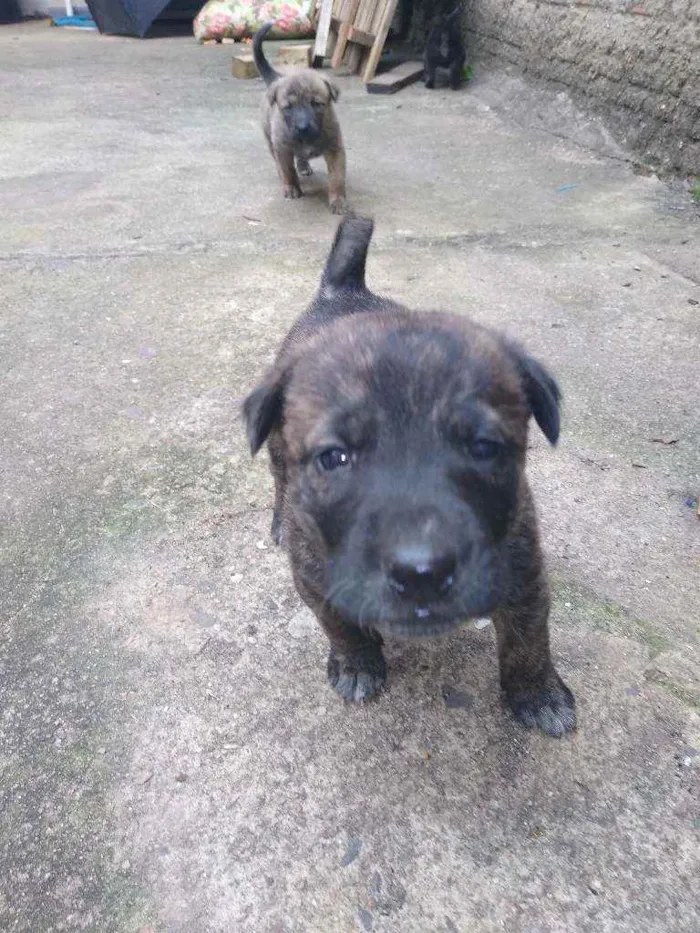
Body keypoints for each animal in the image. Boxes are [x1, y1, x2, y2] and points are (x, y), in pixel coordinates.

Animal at [243, 218, 576, 736]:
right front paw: (357, 663)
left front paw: (538, 695)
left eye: (484, 448)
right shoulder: (316, 579)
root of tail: (344, 290)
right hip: (277, 449)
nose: (422, 572)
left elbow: (528, 639)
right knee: (279, 478)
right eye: (334, 458)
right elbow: (339, 624)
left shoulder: (523, 571)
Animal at [254, 22, 348, 215]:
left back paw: (304, 166)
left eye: (316, 104)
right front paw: (291, 188)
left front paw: (338, 201)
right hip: (269, 139)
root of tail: (277, 77)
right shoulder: (282, 147)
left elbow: (337, 177)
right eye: (288, 107)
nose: (303, 127)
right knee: (278, 162)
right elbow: (288, 170)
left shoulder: (335, 148)